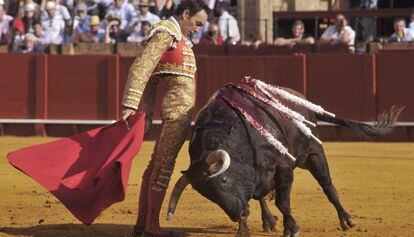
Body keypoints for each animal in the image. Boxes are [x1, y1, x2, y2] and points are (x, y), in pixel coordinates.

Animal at [164, 82, 402, 236]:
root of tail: (301, 100)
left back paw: (347, 220)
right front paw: (244, 230)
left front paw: (292, 229)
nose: (238, 213)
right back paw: (268, 221)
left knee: (327, 185)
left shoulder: (284, 166)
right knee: (260, 196)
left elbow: (282, 202)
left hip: (313, 153)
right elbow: (258, 198)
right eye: (207, 194)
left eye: (223, 180)